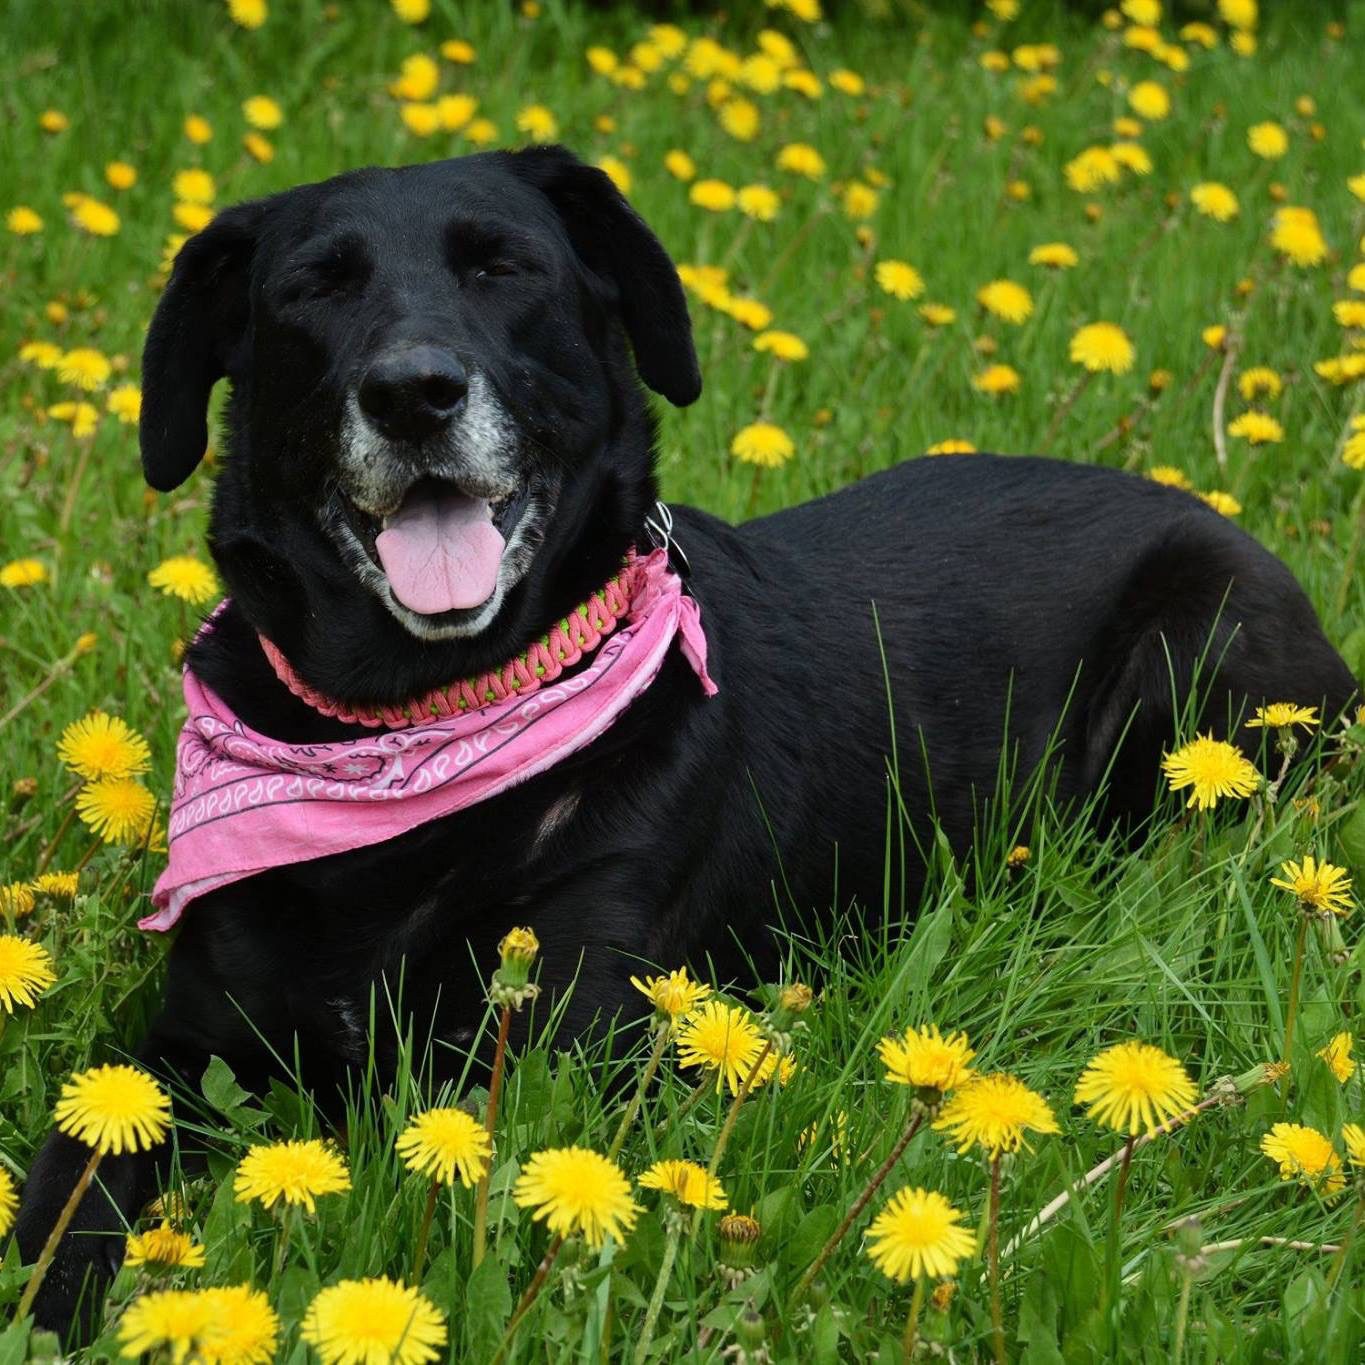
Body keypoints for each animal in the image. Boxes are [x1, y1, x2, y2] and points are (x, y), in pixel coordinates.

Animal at [13, 149, 1354, 1332]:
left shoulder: (568, 1048)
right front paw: (62, 1297)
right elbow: (71, 1179)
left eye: (503, 268)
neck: (417, 729)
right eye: (314, 287)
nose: (412, 393)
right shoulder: (189, 1049)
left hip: (1200, 657)